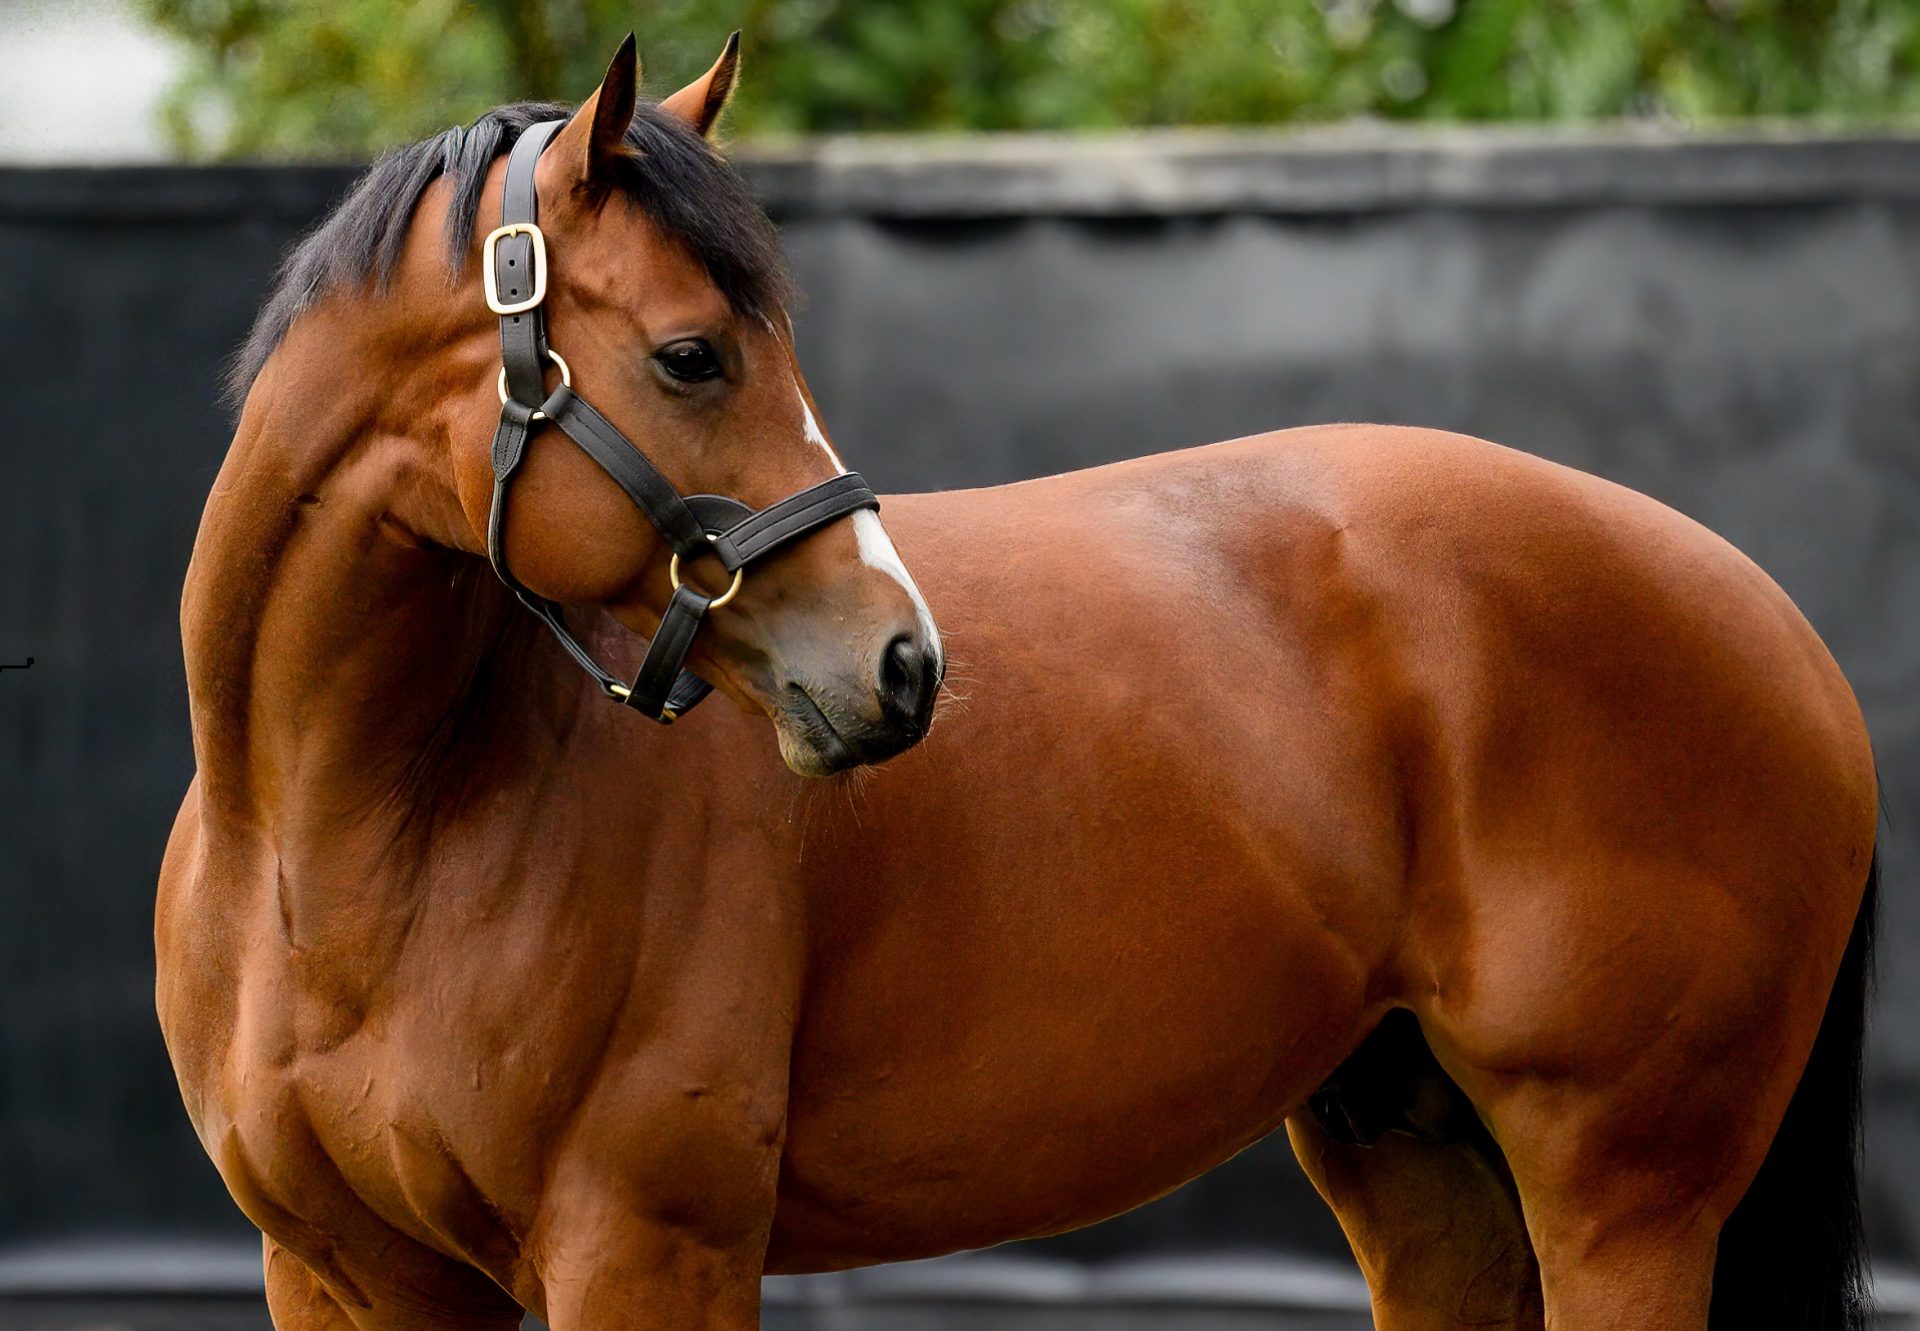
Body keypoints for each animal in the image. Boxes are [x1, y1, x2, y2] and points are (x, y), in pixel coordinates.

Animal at [157, 31, 1881, 1329]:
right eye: (695, 353)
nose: (903, 664)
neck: (351, 847)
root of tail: (1770, 613)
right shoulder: (344, 1278)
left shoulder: (644, 1250)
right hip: (1425, 1169)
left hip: (1622, 1196)